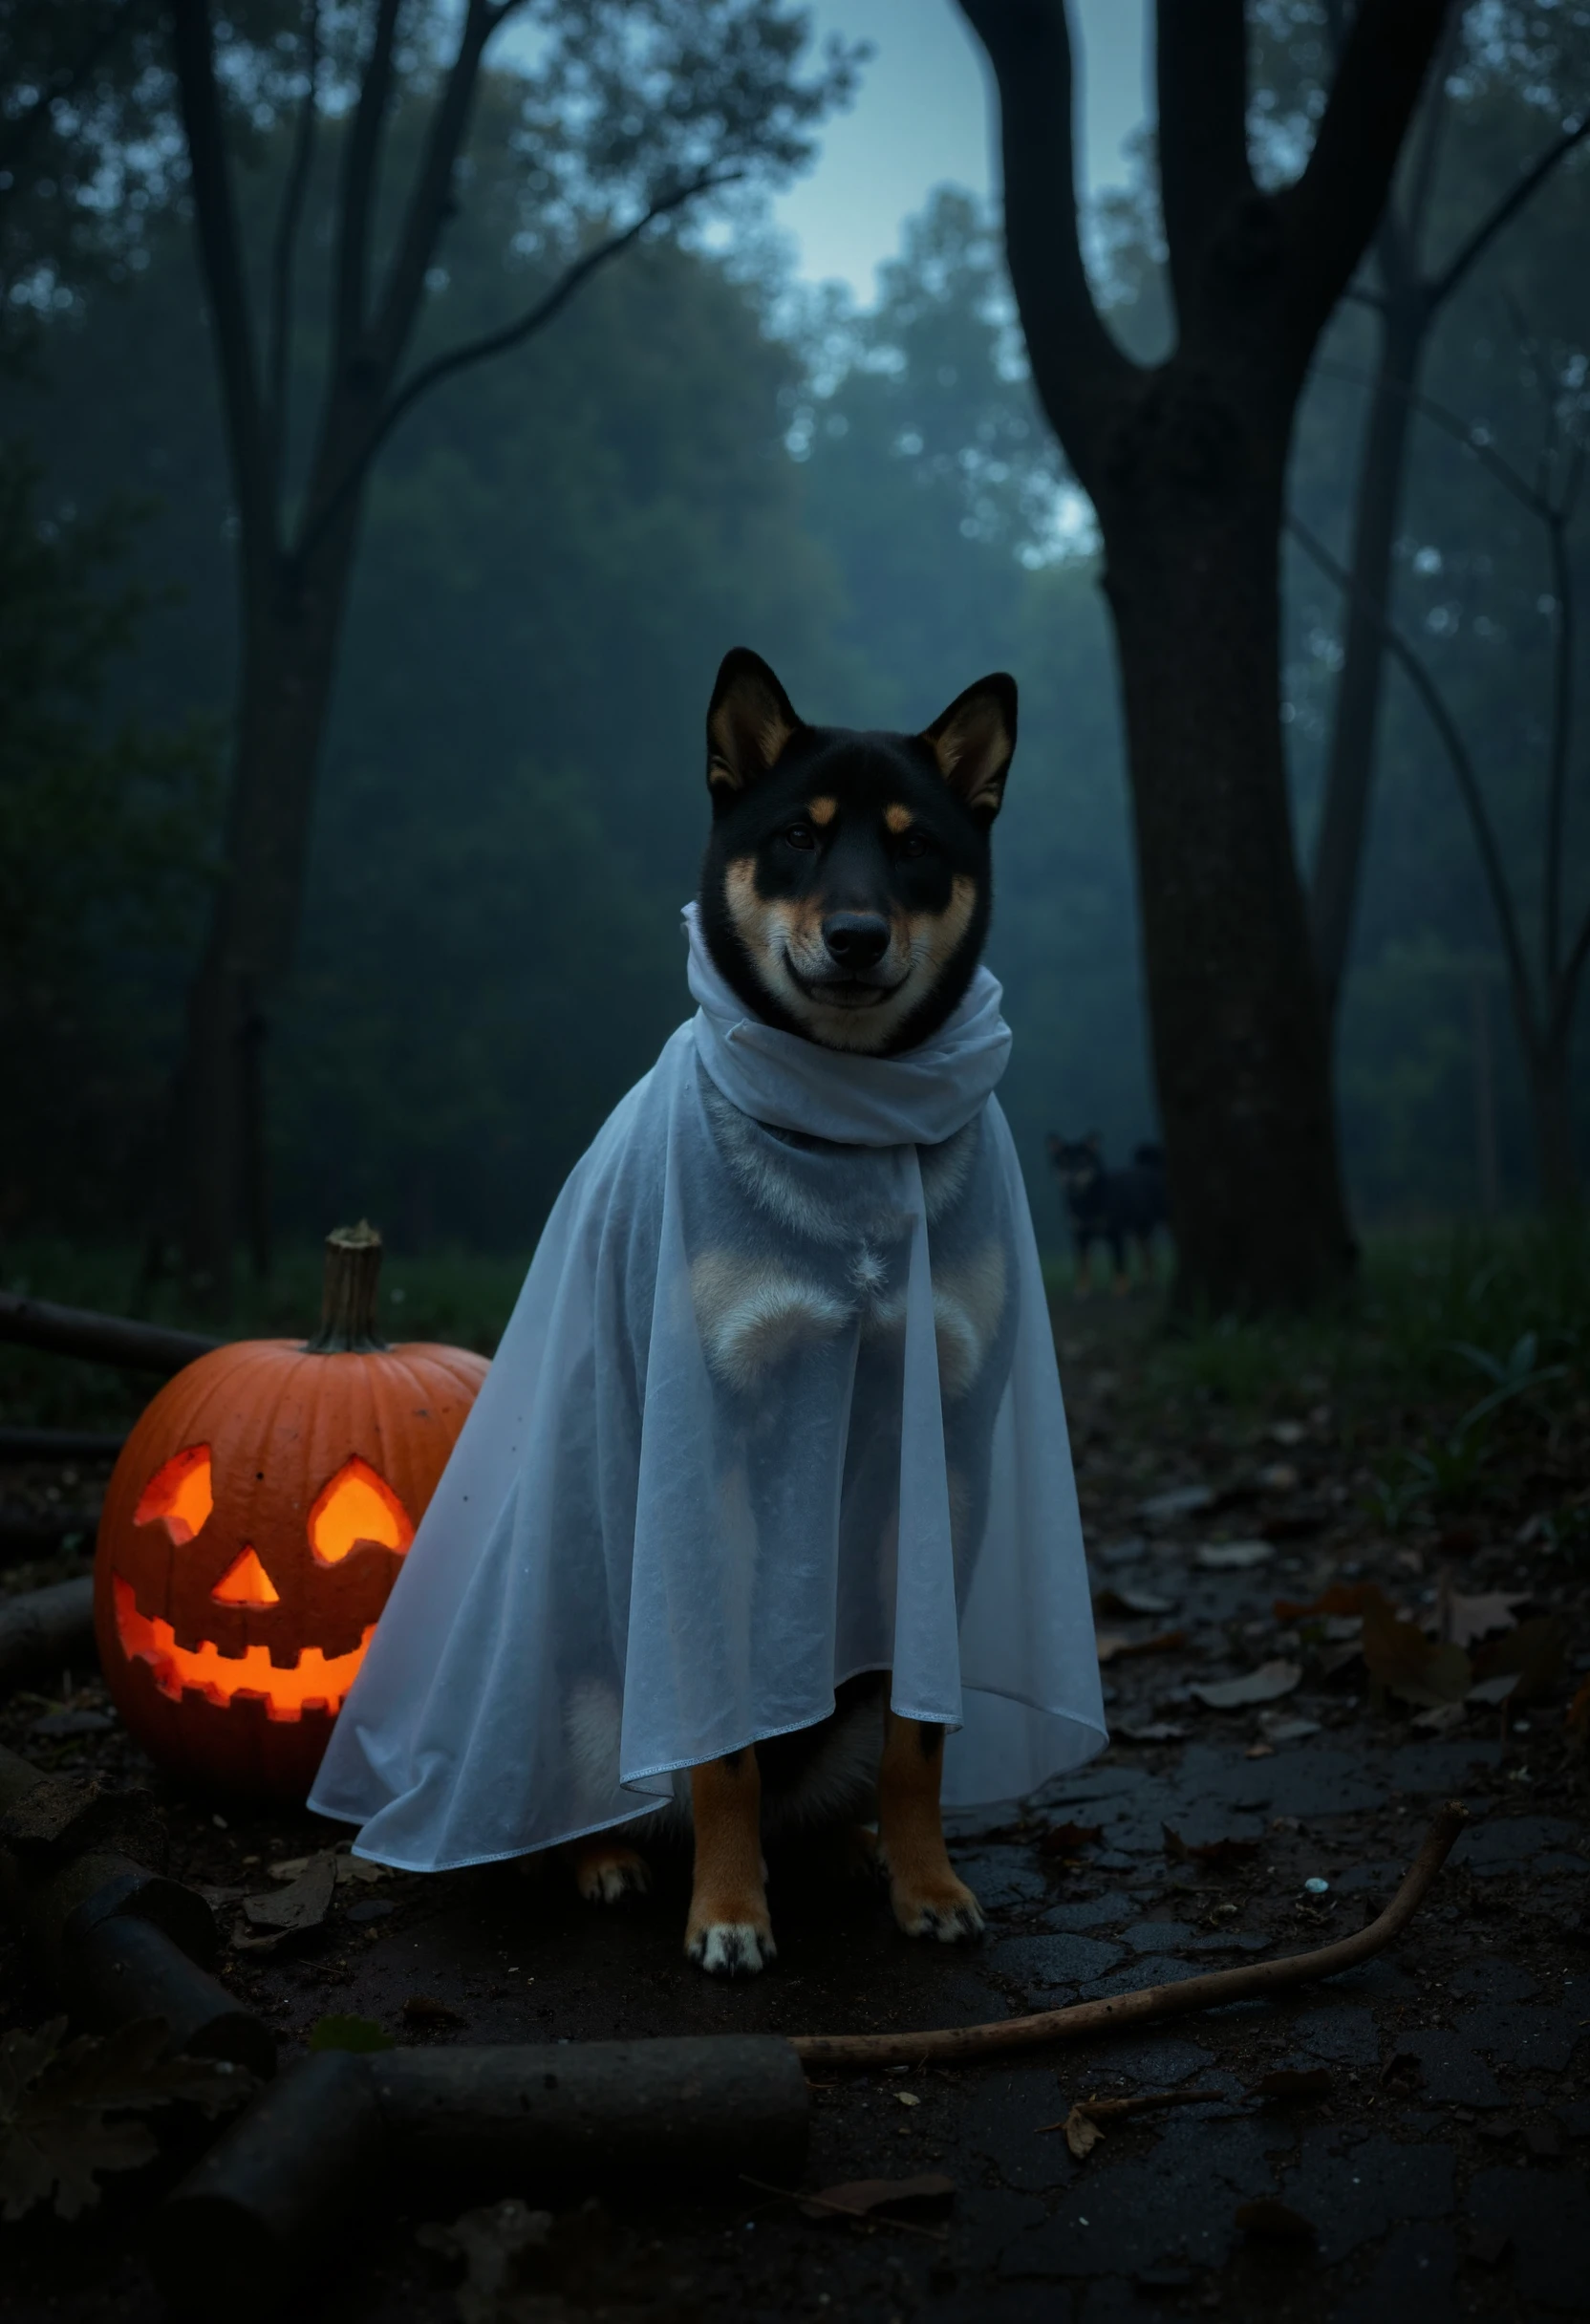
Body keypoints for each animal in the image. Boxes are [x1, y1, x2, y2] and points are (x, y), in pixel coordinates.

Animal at [1041, 1138, 1167, 1301]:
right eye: (1064, 1162)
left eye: (1082, 1161)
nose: (1071, 1180)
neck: (1085, 1203)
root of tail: (1153, 1166)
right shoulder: (1079, 1236)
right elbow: (1082, 1265)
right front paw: (1082, 1291)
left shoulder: (1115, 1233)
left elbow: (1119, 1263)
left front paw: (1121, 1291)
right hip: (1141, 1230)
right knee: (1149, 1255)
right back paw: (1147, 1284)